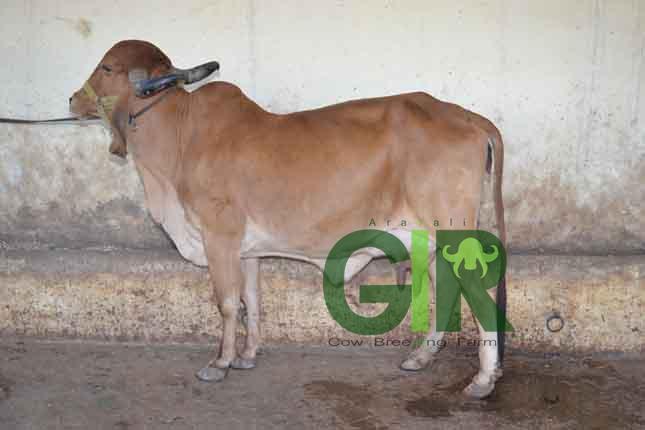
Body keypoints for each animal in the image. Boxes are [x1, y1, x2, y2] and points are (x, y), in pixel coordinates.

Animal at [69, 40, 507, 399]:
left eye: (107, 67)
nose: (72, 99)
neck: (180, 136)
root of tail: (466, 117)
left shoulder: (219, 235)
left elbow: (226, 302)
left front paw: (219, 363)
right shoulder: (247, 251)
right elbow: (251, 300)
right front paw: (247, 355)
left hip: (453, 235)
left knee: (478, 296)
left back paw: (483, 380)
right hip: (429, 242)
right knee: (447, 292)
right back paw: (421, 358)